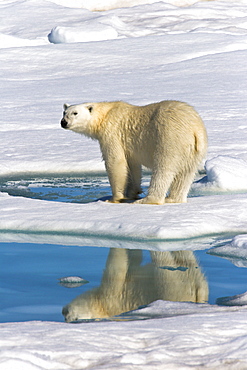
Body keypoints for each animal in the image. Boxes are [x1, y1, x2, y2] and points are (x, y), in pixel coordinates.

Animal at [60, 99, 207, 204]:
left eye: (75, 113)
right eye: (64, 112)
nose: (63, 122)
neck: (105, 114)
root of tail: (195, 129)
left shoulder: (112, 132)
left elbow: (115, 162)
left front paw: (114, 198)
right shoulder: (128, 144)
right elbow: (132, 166)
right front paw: (132, 193)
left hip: (170, 137)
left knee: (164, 167)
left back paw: (148, 200)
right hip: (194, 150)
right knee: (186, 173)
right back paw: (173, 199)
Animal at [62, 247, 208, 322]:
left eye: (75, 319)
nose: (64, 312)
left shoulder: (111, 297)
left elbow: (117, 267)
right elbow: (132, 261)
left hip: (170, 287)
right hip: (182, 284)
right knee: (184, 262)